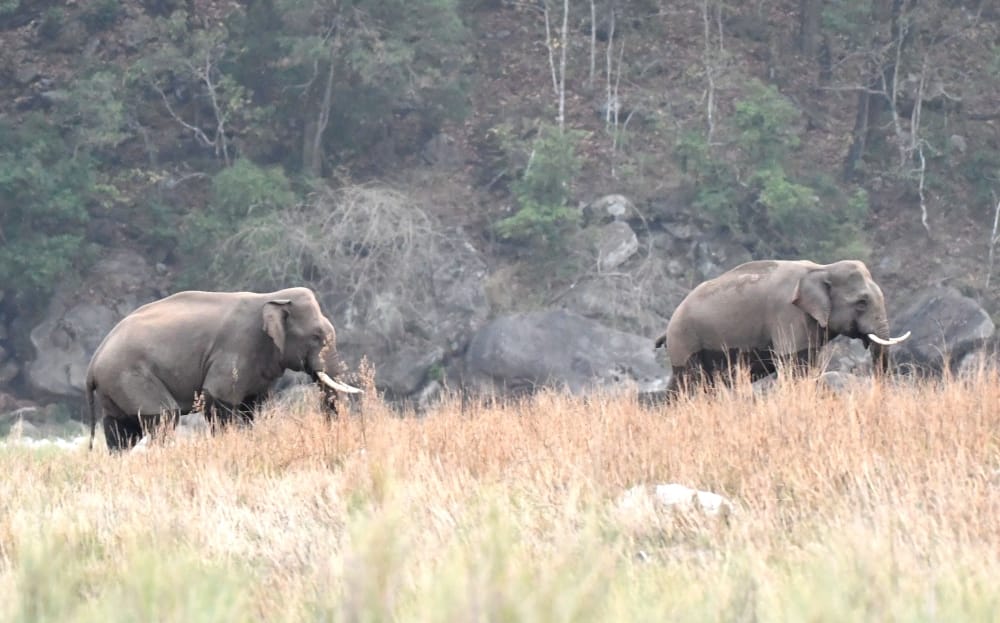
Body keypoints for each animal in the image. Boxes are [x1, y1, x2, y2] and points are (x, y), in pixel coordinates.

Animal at [85, 286, 362, 452]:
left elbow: (252, 406)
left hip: (114, 387)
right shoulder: (236, 348)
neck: (271, 297)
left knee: (120, 430)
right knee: (164, 415)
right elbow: (218, 398)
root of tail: (93, 361)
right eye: (316, 337)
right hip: (130, 376)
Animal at [653, 259, 911, 395]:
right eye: (861, 302)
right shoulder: (787, 314)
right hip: (685, 341)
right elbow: (795, 365)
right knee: (693, 383)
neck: (821, 268)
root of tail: (669, 326)